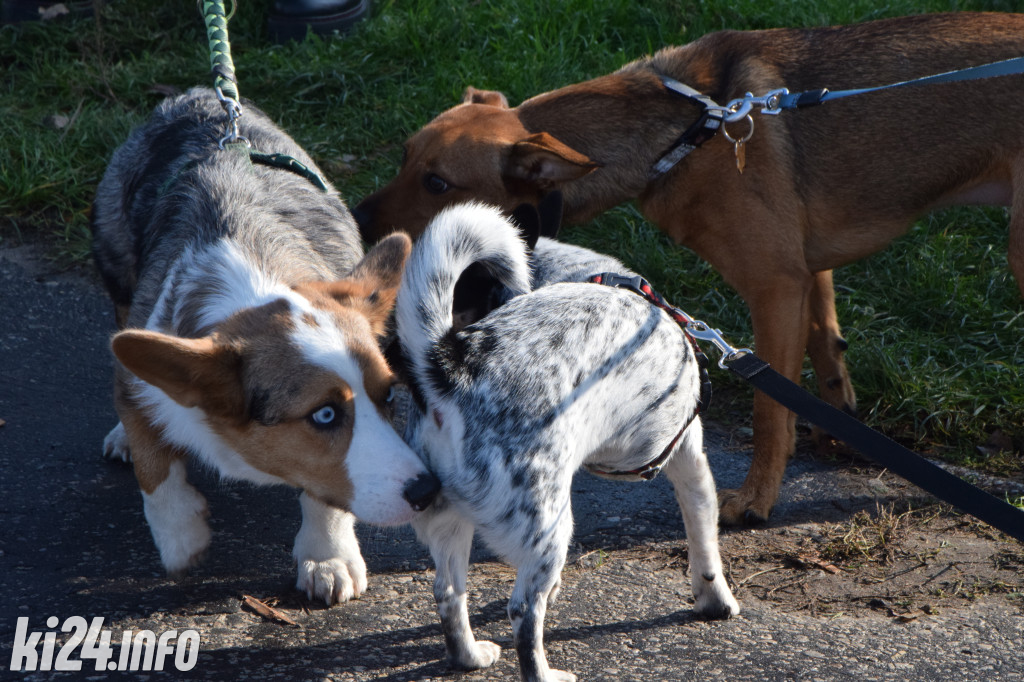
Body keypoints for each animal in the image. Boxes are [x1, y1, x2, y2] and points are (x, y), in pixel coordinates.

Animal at [354, 13, 1024, 524]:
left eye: (437, 183)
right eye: (405, 156)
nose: (359, 217)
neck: (686, 133)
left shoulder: (775, 285)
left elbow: (770, 411)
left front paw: (755, 501)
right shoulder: (808, 272)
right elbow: (827, 355)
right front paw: (837, 433)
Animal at [391, 201, 737, 679]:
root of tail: (449, 363)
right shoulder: (690, 462)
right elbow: (704, 544)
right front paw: (715, 599)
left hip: (450, 523)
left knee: (448, 595)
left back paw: (471, 656)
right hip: (550, 528)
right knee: (523, 613)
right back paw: (544, 671)